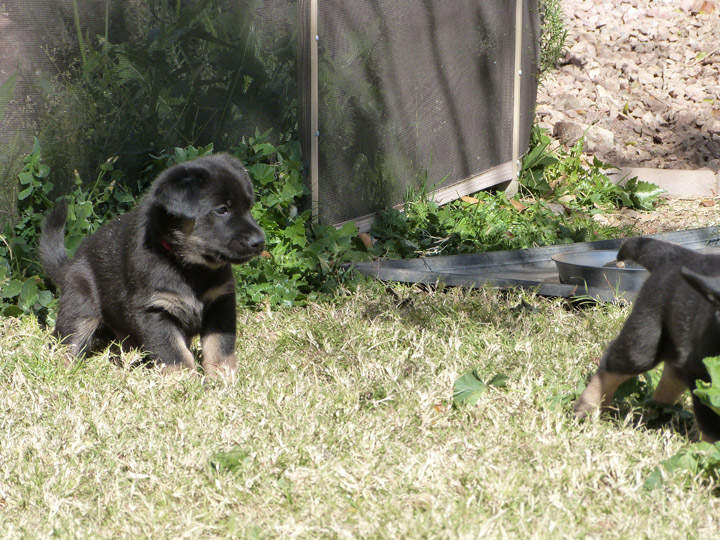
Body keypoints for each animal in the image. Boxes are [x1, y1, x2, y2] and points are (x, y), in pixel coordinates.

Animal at [39, 153, 264, 376]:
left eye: (248, 207)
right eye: (222, 210)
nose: (260, 242)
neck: (188, 266)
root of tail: (70, 265)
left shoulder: (221, 302)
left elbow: (220, 347)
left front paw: (223, 378)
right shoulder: (155, 310)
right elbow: (175, 355)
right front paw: (185, 382)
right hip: (80, 308)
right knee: (65, 343)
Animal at [572, 238, 720, 440]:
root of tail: (675, 255)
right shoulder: (703, 376)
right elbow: (711, 423)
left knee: (669, 381)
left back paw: (655, 417)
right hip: (644, 342)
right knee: (611, 367)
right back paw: (587, 408)